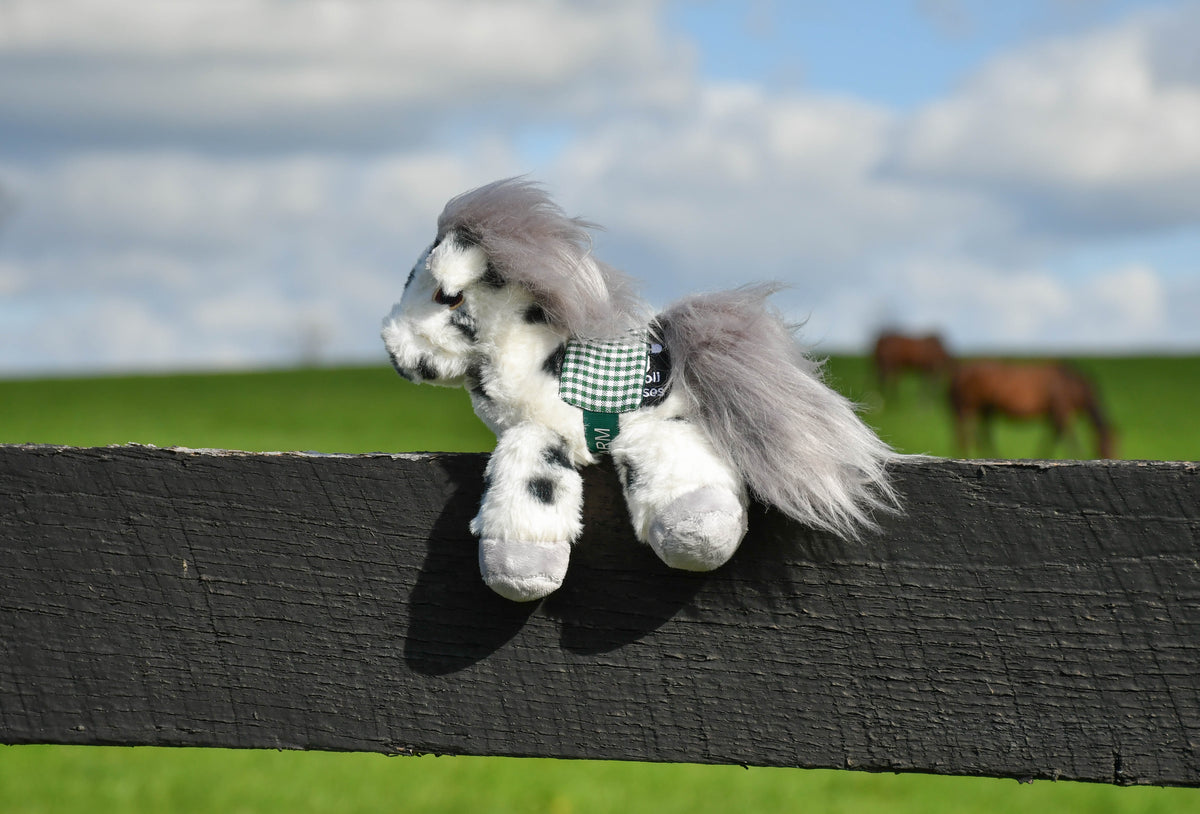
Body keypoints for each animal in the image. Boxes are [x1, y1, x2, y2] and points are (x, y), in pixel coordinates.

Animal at [948, 360, 1115, 459]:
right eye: (1106, 444)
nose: (1111, 456)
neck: (1070, 384)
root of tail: (961, 371)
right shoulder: (1061, 411)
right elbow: (1070, 438)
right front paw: (1080, 455)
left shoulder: (1055, 415)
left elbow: (1053, 438)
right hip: (969, 407)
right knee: (965, 433)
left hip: (986, 409)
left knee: (981, 435)